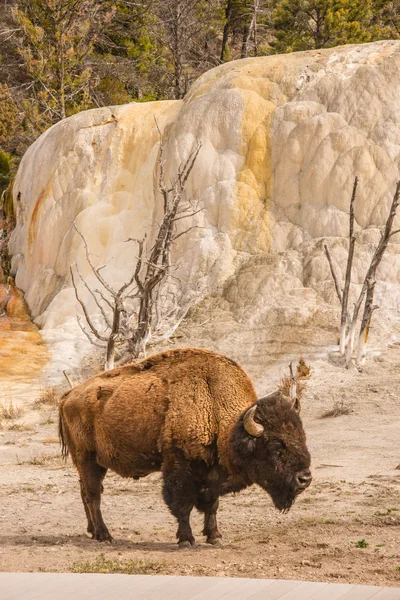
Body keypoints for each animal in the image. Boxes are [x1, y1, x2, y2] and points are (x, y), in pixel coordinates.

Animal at [58, 346, 312, 548]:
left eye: (302, 437)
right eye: (275, 447)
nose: (305, 479)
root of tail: (69, 395)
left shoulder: (212, 472)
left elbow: (212, 505)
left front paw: (215, 536)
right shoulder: (179, 465)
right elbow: (182, 504)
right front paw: (186, 539)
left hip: (89, 463)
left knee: (85, 493)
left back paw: (93, 532)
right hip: (88, 459)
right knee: (93, 495)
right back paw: (105, 536)